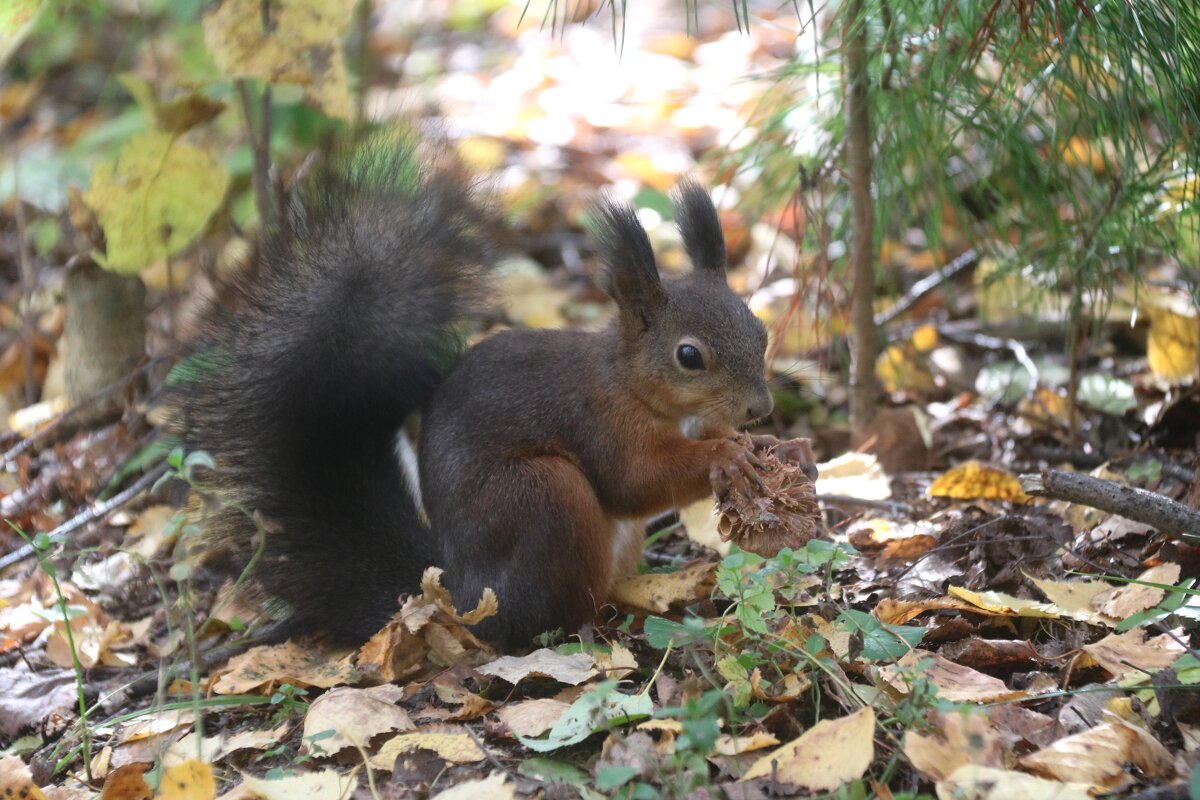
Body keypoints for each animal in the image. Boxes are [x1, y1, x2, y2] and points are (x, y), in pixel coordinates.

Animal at [184, 136, 816, 652]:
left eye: (760, 330)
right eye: (689, 356)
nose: (761, 409)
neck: (635, 387)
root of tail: (464, 599)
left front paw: (786, 450)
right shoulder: (598, 420)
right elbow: (632, 480)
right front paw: (726, 456)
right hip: (542, 497)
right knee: (541, 622)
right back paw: (592, 629)